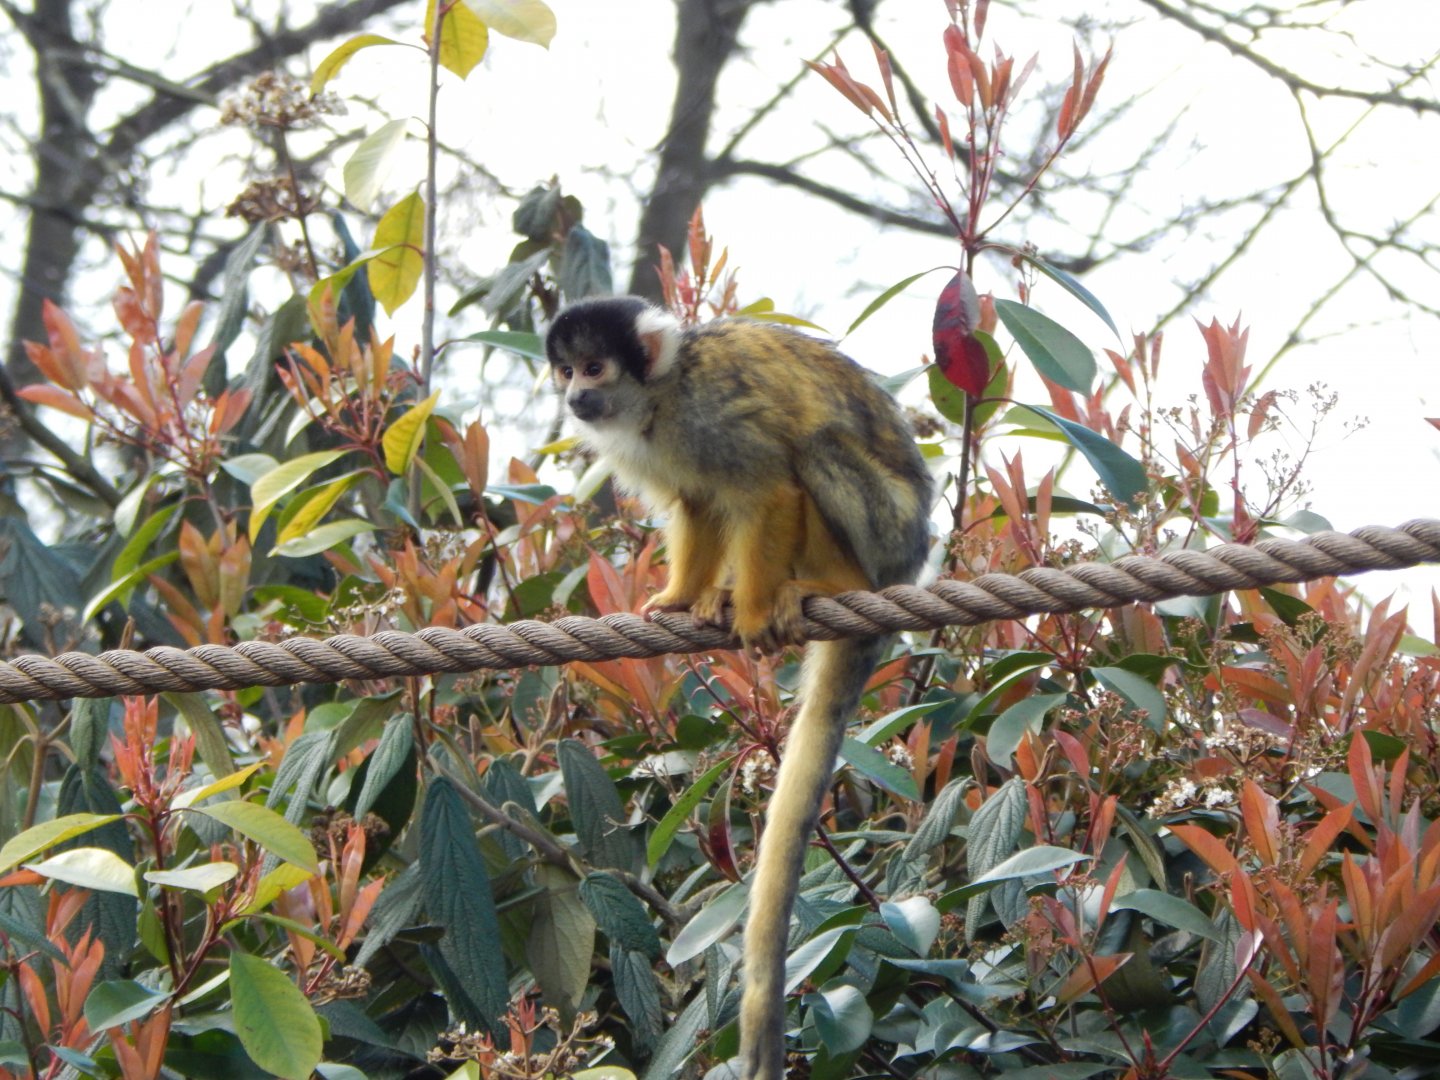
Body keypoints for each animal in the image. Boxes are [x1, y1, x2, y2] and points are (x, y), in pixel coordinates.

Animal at [546, 296, 931, 1080]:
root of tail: (914, 562)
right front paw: (677, 597)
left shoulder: (713, 415)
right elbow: (697, 504)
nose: (575, 398)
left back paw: (824, 586)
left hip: (892, 530)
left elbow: (768, 486)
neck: (658, 399)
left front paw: (751, 612)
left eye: (594, 367)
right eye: (566, 372)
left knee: (815, 447)